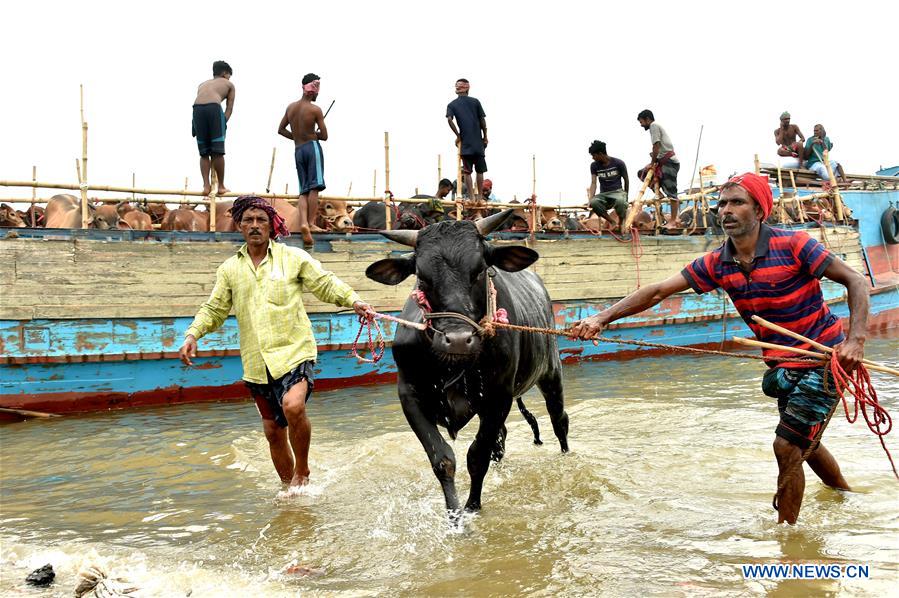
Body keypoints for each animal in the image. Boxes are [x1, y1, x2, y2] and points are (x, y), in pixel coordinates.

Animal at [362, 210, 568, 516]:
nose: (458, 340)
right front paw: (454, 515)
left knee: (559, 420)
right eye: (421, 278)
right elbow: (443, 459)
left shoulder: (498, 397)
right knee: (501, 440)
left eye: (481, 270)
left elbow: (477, 457)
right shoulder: (410, 395)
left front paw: (472, 508)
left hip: (551, 373)